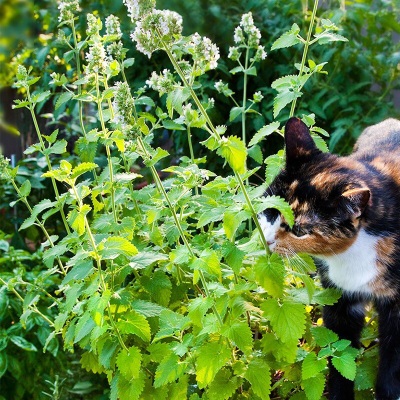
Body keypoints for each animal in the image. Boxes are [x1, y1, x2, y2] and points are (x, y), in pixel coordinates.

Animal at [260, 117, 400, 398]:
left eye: (299, 230)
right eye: (271, 210)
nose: (267, 240)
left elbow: (393, 360)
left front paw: (389, 392)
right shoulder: (340, 298)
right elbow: (340, 352)